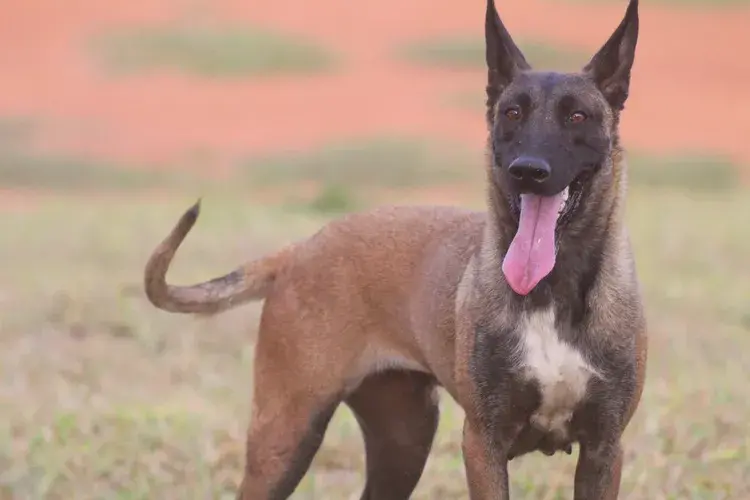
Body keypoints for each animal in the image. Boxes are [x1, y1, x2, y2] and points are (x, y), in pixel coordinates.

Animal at [144, 1, 648, 498]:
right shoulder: (483, 443)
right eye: (511, 114)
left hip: (402, 440)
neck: (552, 290)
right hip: (286, 436)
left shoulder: (603, 449)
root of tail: (298, 251)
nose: (528, 170)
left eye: (577, 116)